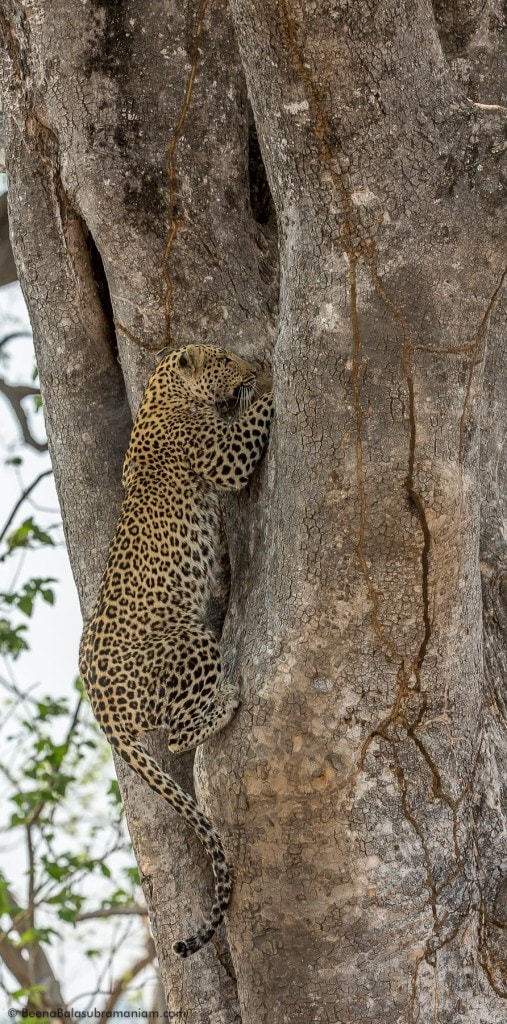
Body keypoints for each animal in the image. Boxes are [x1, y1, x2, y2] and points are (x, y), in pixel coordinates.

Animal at [78, 346, 274, 958]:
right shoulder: (221, 456)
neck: (162, 393)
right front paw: (269, 388)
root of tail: (102, 710)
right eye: (225, 358)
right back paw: (225, 704)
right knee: (178, 735)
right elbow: (251, 427)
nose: (251, 365)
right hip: (188, 642)